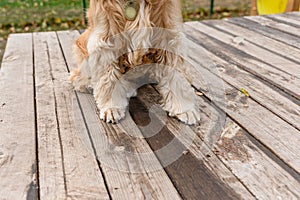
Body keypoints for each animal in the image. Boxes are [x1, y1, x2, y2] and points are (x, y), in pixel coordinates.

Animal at [70, 0, 200, 124]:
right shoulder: (105, 38)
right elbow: (108, 79)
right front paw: (111, 107)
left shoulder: (170, 35)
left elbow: (177, 76)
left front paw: (184, 109)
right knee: (77, 78)